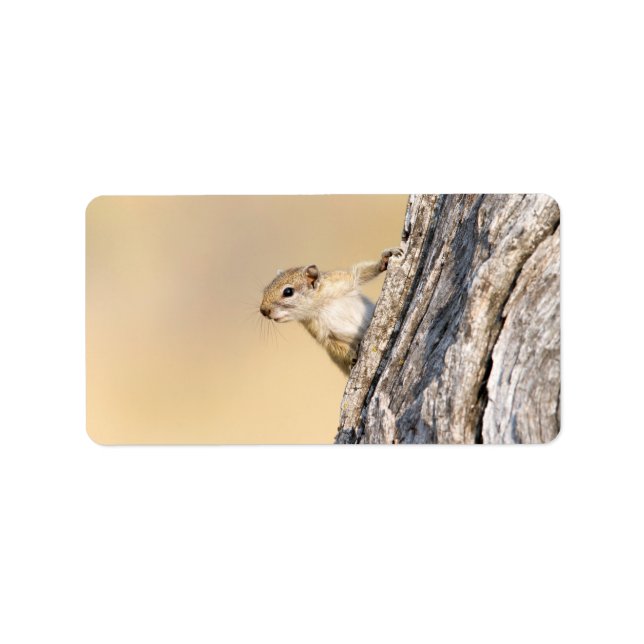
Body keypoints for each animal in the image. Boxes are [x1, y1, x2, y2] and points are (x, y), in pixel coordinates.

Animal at [259, 247, 403, 374]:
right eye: (266, 289)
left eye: (288, 292)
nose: (263, 311)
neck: (320, 304)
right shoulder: (320, 332)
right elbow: (334, 346)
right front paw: (351, 357)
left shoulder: (342, 280)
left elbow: (360, 273)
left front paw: (386, 258)